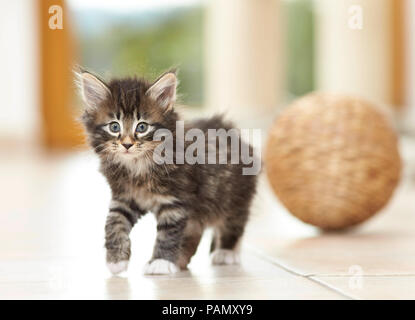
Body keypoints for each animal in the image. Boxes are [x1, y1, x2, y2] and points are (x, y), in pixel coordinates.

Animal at [77, 70, 256, 276]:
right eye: (114, 127)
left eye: (142, 127)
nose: (127, 144)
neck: (138, 166)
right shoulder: (125, 197)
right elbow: (113, 223)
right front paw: (116, 260)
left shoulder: (175, 201)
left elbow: (168, 233)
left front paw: (160, 262)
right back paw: (183, 259)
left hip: (234, 197)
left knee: (233, 224)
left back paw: (226, 251)